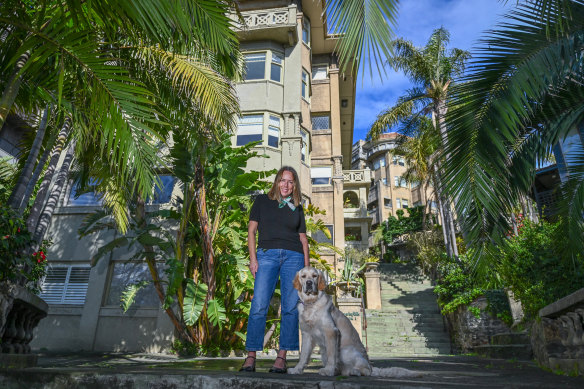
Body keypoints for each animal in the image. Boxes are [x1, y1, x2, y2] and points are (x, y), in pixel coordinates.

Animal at [288, 266, 420, 378]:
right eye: (303, 276)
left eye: (314, 276)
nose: (309, 283)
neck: (311, 303)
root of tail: (372, 367)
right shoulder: (306, 334)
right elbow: (303, 356)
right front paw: (297, 369)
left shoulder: (331, 331)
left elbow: (332, 355)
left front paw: (328, 370)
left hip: (345, 351)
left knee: (365, 371)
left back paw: (352, 371)